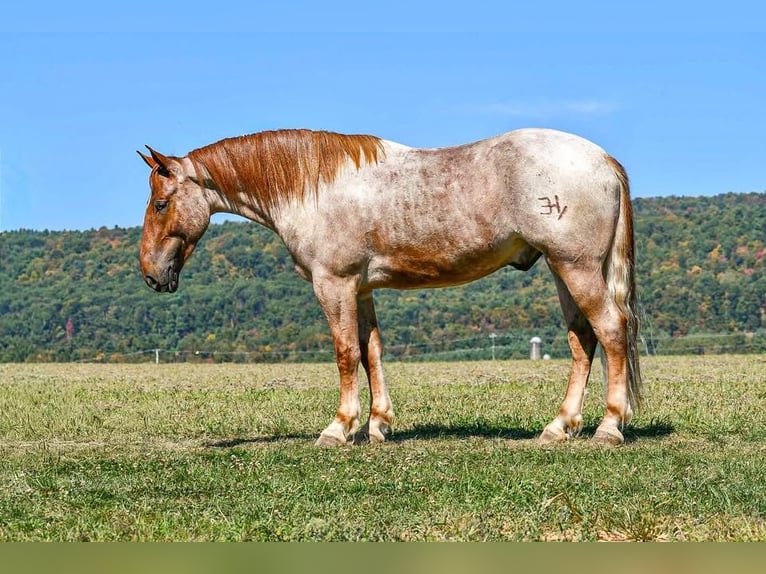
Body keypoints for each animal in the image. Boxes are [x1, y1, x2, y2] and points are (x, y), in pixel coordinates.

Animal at [138, 127, 642, 446]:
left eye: (161, 203)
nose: (150, 274)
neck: (315, 188)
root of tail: (602, 159)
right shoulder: (361, 290)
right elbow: (371, 351)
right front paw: (378, 425)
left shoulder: (334, 284)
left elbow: (345, 354)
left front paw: (339, 428)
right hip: (563, 270)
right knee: (583, 341)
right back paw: (560, 426)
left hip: (575, 268)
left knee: (611, 331)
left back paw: (609, 427)